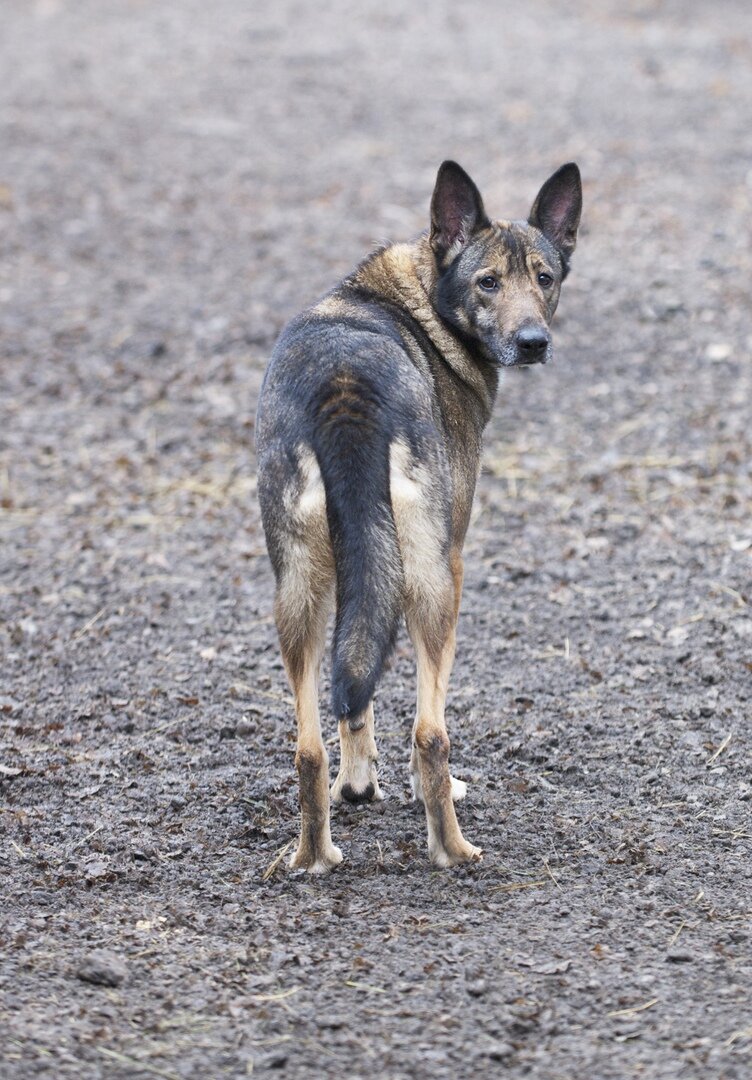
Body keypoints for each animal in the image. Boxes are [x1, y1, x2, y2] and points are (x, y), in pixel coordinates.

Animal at [257, 157, 583, 868]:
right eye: (489, 282)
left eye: (544, 278)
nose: (534, 342)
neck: (421, 299)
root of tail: (344, 389)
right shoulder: (448, 554)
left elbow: (356, 692)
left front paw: (359, 785)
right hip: (436, 582)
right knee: (432, 731)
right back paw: (453, 851)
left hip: (298, 590)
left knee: (308, 746)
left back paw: (313, 857)